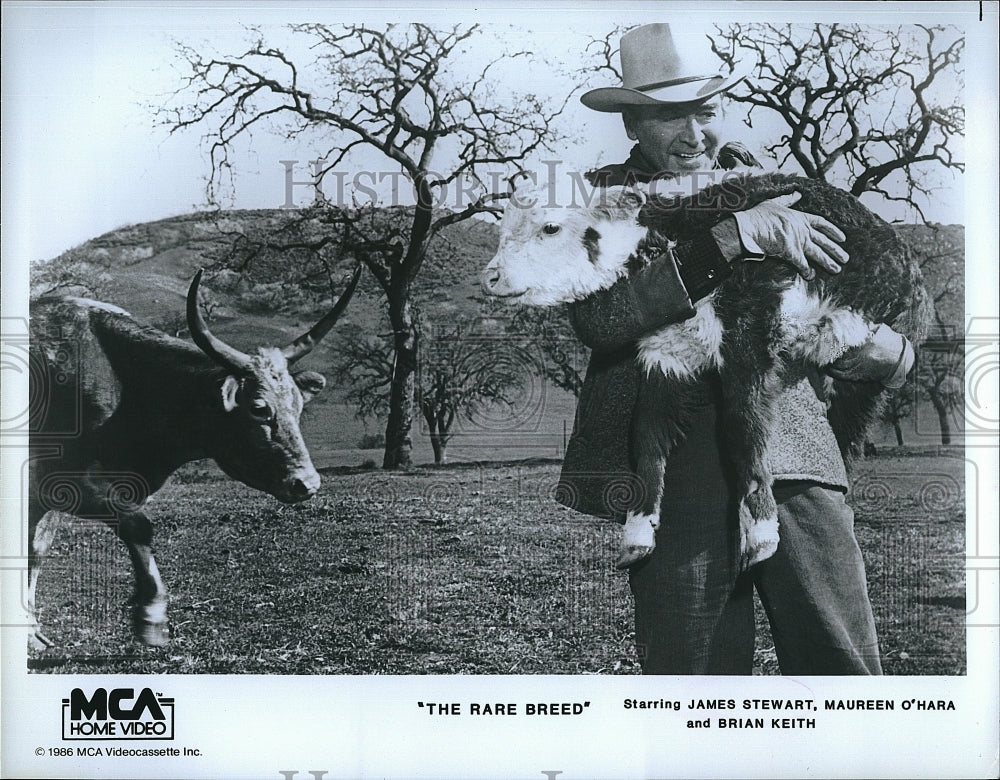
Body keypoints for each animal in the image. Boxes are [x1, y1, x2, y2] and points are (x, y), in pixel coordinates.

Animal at [26, 268, 364, 644]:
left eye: (299, 405)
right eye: (258, 408)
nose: (307, 483)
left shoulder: (48, 499)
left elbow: (35, 552)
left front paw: (30, 632)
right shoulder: (64, 483)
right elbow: (137, 525)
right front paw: (151, 615)